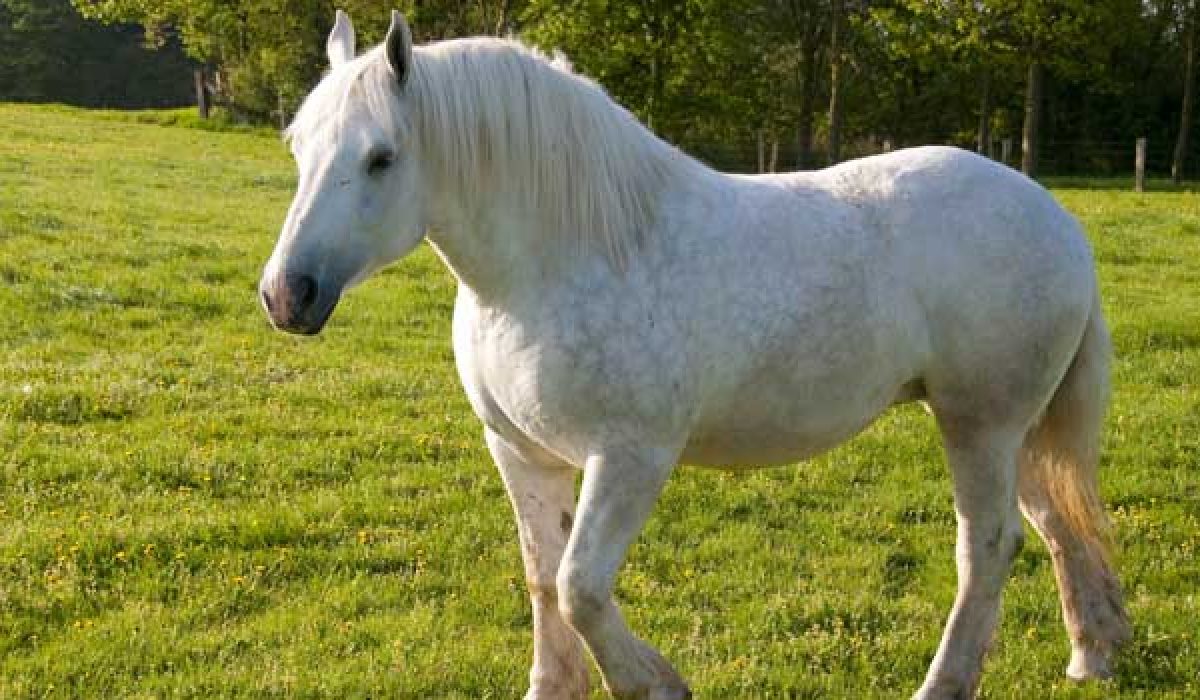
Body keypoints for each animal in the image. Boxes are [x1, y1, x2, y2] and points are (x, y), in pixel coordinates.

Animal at [259, 11, 1129, 699]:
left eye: (381, 157)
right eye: (297, 148)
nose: (286, 295)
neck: (567, 255)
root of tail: (1057, 218)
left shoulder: (630, 457)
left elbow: (580, 586)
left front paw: (656, 684)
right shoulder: (520, 451)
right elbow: (543, 578)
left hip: (980, 425)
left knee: (986, 548)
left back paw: (945, 683)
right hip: (1010, 430)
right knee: (1052, 523)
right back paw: (1093, 653)